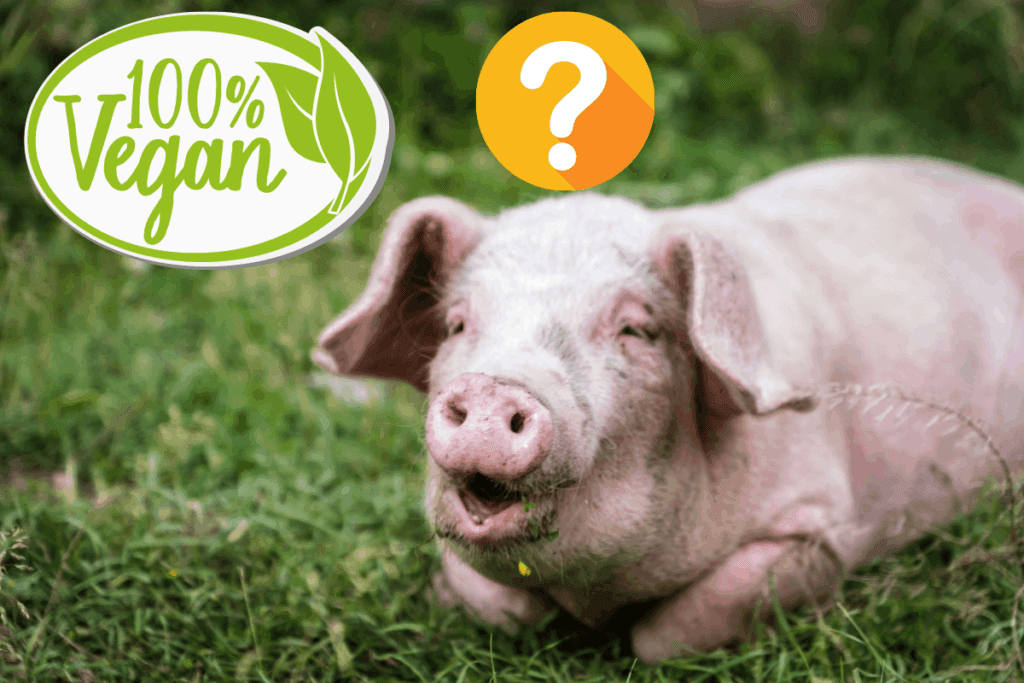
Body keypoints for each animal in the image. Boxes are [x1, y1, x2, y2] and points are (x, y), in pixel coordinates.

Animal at [312, 156, 1024, 662]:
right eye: (458, 324)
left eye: (636, 330)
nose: (494, 388)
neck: (596, 594)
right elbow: (503, 606)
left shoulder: (820, 526)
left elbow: (664, 638)